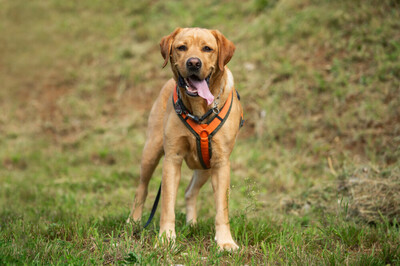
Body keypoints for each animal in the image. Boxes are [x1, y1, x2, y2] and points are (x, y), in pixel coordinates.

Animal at [129, 27, 241, 251]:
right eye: (181, 47)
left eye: (207, 48)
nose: (193, 63)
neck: (199, 110)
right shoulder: (172, 159)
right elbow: (167, 204)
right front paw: (166, 237)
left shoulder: (221, 163)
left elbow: (222, 209)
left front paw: (225, 241)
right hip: (151, 151)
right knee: (142, 188)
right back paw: (134, 221)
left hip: (206, 167)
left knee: (190, 191)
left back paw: (192, 224)